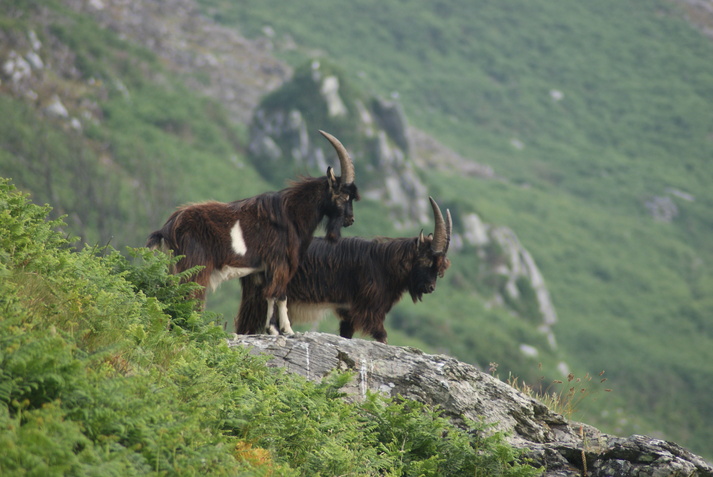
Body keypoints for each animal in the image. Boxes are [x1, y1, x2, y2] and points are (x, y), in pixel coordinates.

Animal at [145, 128, 358, 332]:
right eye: (345, 196)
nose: (350, 220)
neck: (291, 214)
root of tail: (167, 228)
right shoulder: (281, 262)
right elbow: (280, 295)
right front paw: (284, 330)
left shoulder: (264, 269)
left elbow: (268, 296)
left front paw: (273, 329)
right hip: (194, 265)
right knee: (189, 296)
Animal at [236, 195, 454, 344]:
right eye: (426, 261)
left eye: (440, 268)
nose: (430, 287)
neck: (383, 263)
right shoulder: (369, 309)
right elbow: (381, 336)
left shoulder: (349, 312)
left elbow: (346, 334)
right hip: (257, 298)